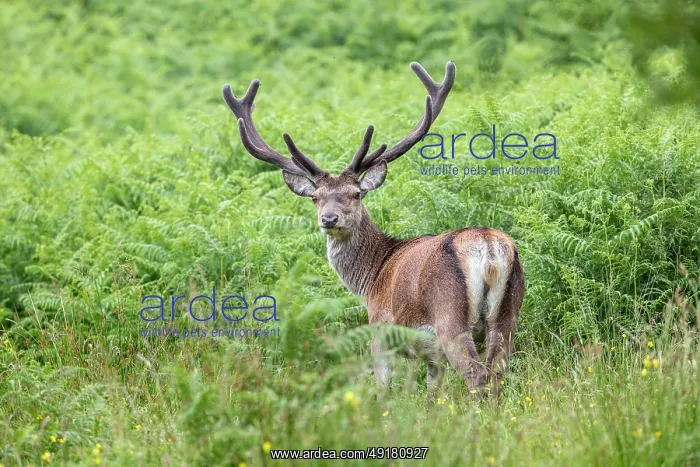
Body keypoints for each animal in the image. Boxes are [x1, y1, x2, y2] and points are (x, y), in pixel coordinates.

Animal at [222, 61, 525, 398]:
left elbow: (384, 389)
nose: (329, 219)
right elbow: (433, 395)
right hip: (508, 315)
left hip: (450, 317)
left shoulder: (380, 330)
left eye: (355, 193)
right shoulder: (431, 355)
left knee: (477, 376)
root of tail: (488, 246)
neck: (371, 277)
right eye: (316, 197)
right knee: (497, 374)